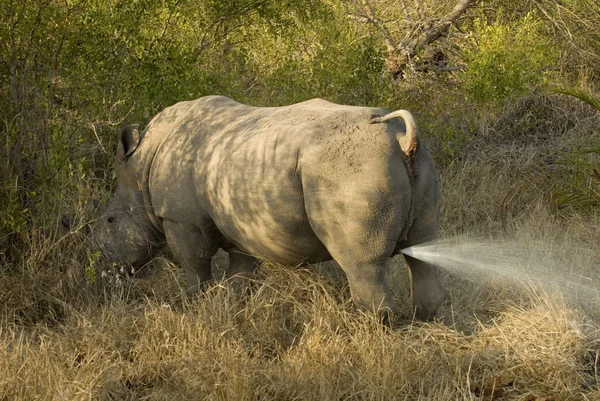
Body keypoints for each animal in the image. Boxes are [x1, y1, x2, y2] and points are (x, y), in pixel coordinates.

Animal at [97, 95, 446, 320]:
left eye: (110, 220)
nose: (109, 271)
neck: (139, 169)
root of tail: (402, 138)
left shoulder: (181, 219)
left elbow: (194, 265)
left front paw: (192, 305)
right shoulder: (239, 222)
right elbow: (240, 271)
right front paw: (231, 306)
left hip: (352, 167)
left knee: (362, 264)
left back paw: (370, 328)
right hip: (419, 165)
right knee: (423, 252)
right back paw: (423, 321)